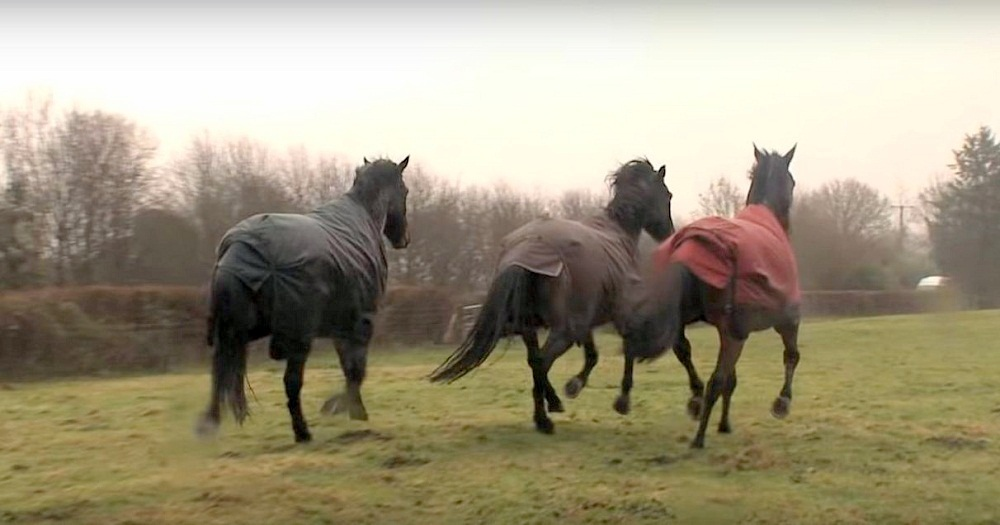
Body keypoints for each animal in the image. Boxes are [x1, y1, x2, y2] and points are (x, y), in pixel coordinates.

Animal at [196, 156, 411, 443]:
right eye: (405, 191)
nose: (404, 239)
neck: (363, 216)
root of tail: (242, 248)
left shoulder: (341, 328)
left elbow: (349, 367)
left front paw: (349, 408)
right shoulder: (362, 321)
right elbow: (357, 368)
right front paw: (345, 408)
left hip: (233, 332)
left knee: (218, 374)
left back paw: (209, 426)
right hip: (297, 338)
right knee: (291, 382)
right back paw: (302, 432)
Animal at [429, 158, 676, 434]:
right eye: (668, 195)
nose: (669, 233)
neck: (619, 232)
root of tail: (524, 248)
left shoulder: (585, 321)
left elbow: (593, 355)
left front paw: (573, 388)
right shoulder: (621, 313)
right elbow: (627, 349)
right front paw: (619, 400)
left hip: (532, 327)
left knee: (535, 361)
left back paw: (551, 405)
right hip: (562, 330)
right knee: (542, 361)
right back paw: (544, 419)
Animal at [616, 144, 800, 449]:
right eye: (792, 181)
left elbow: (730, 379)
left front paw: (724, 424)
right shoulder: (785, 321)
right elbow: (791, 356)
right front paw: (782, 403)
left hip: (681, 316)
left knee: (659, 345)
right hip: (734, 334)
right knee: (716, 378)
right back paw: (698, 437)